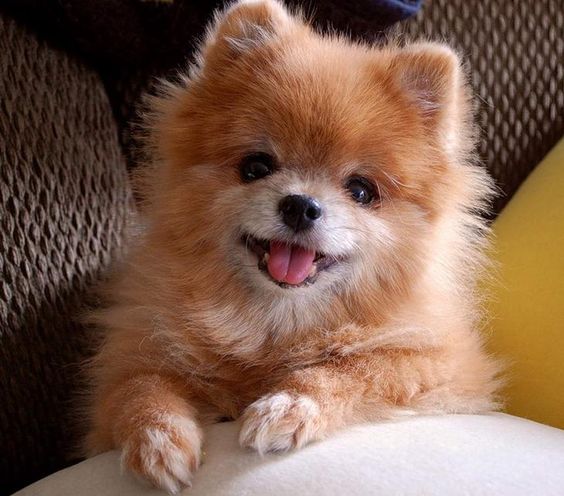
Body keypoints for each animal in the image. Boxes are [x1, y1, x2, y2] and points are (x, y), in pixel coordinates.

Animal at [82, 0, 498, 492]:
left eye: (361, 191)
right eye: (256, 166)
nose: (301, 205)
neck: (275, 325)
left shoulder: (441, 364)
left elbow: (358, 368)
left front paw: (291, 405)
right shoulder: (134, 352)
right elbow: (139, 386)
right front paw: (157, 436)